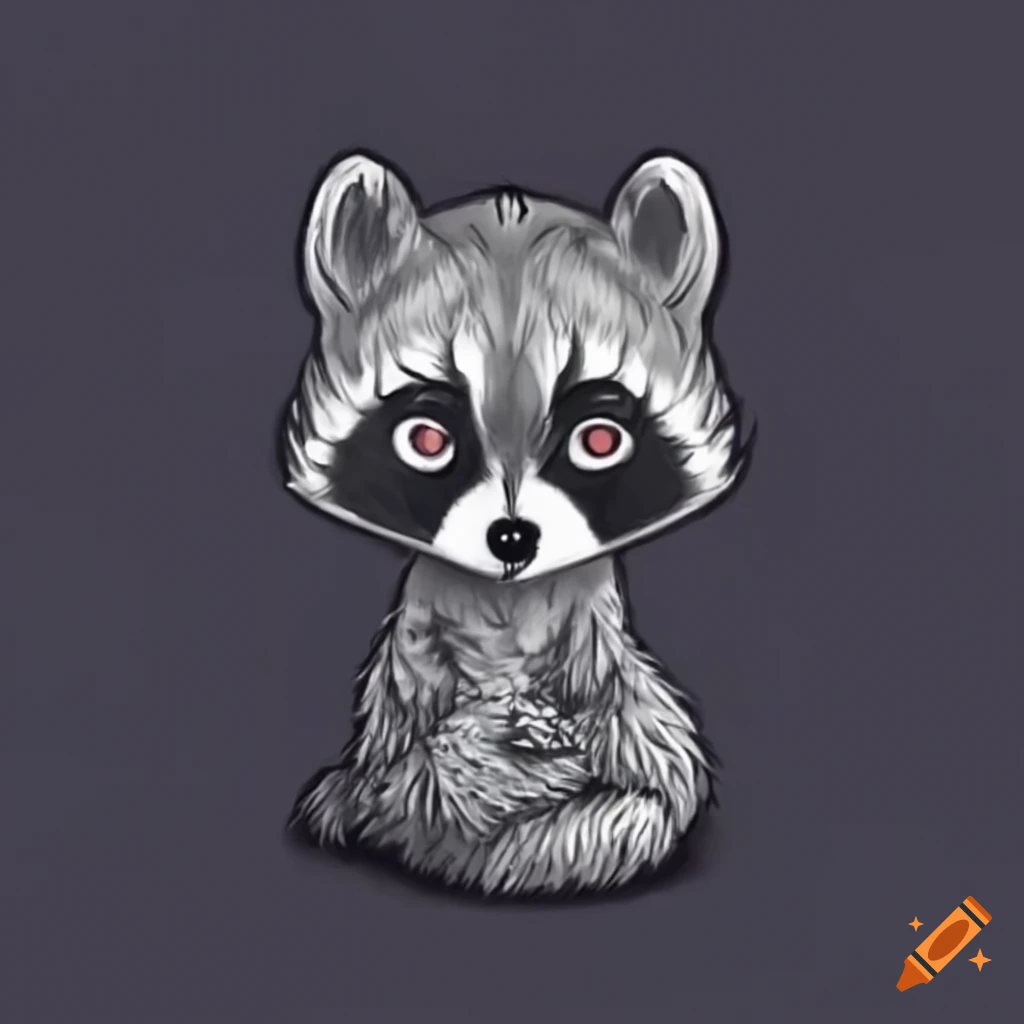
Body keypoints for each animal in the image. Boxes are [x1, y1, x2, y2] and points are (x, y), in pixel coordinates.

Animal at [280, 149, 749, 897]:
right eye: (427, 440)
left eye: (598, 440)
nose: (511, 538)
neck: (507, 603)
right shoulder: (412, 663)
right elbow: (398, 768)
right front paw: (473, 757)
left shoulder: (602, 660)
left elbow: (657, 773)